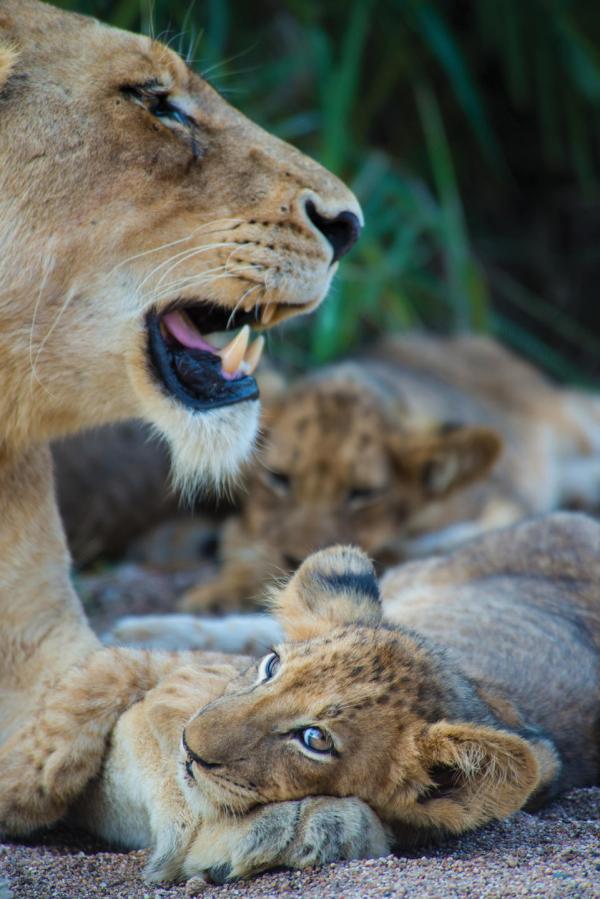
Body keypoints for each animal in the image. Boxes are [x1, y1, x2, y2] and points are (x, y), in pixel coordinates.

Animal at [6, 513, 596, 886]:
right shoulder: (177, 670)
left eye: (314, 739)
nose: (190, 747)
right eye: (272, 668)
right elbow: (92, 684)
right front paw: (18, 793)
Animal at [181, 333, 600, 610]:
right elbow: (241, 545)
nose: (296, 559)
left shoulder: (504, 503)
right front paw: (216, 594)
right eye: (279, 479)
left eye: (362, 494)